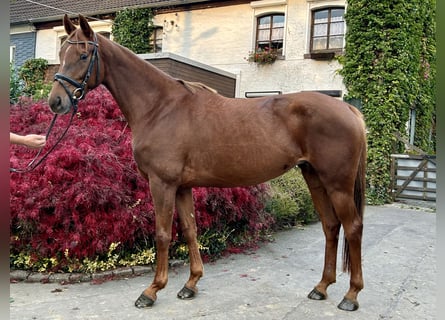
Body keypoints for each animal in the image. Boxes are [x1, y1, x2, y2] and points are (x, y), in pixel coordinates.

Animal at [48, 15, 366, 312]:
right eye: (61, 52)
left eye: (83, 55)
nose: (56, 102)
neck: (160, 108)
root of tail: (348, 110)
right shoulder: (182, 187)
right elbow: (190, 230)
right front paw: (190, 284)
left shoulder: (162, 184)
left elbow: (163, 234)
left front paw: (152, 290)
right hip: (315, 178)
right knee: (330, 226)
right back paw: (321, 287)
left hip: (337, 184)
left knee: (352, 227)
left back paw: (351, 295)